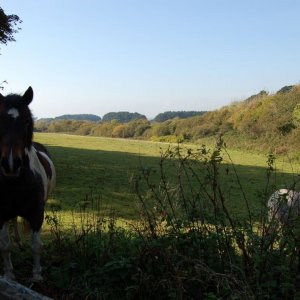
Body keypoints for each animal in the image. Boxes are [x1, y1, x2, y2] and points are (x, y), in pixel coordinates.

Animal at [0, 86, 55, 282]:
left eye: (26, 122)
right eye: (0, 120)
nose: (10, 163)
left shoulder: (37, 213)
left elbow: (36, 245)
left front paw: (37, 275)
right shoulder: (1, 214)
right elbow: (5, 246)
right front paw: (9, 275)